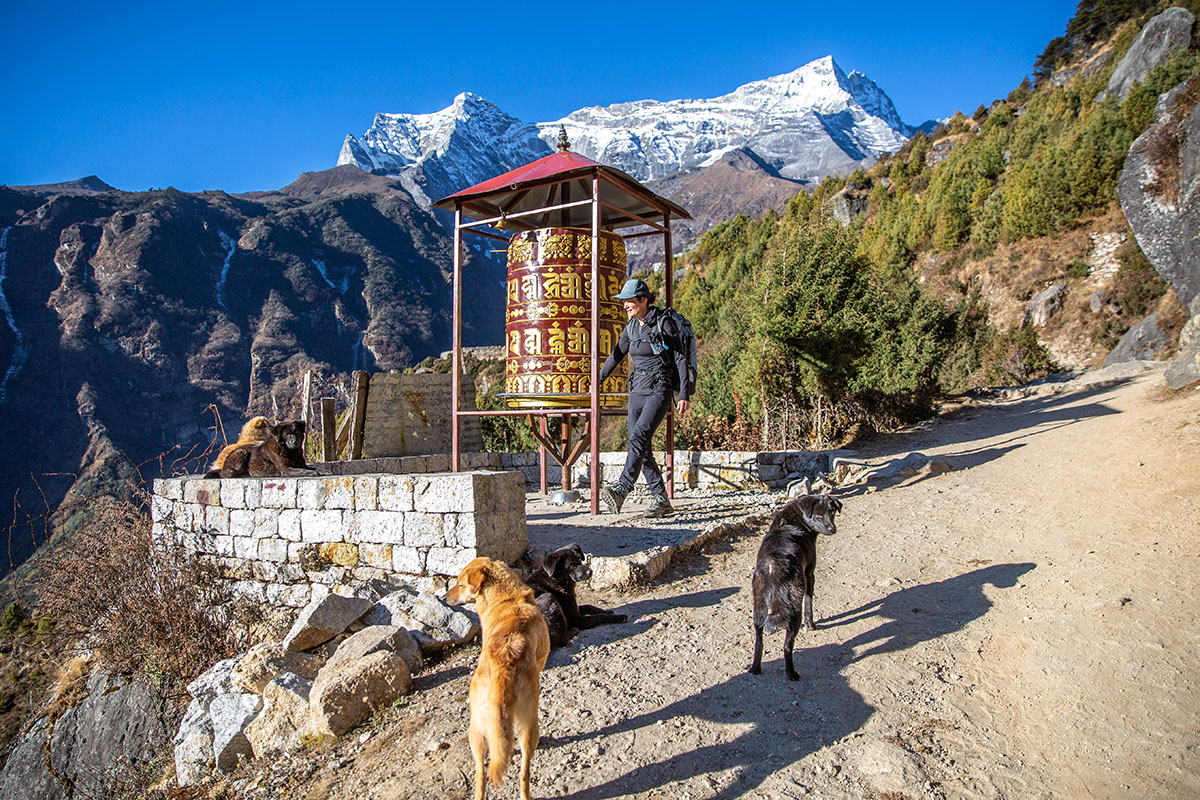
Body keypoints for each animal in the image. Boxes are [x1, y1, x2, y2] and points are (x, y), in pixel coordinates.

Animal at [446, 556, 549, 800]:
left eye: (460, 585)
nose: (444, 598)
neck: (507, 598)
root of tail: (504, 670)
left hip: (477, 730)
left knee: (482, 775)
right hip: (527, 723)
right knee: (523, 771)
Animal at [748, 494, 844, 681]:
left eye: (832, 511)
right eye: (818, 516)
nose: (832, 529)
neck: (798, 519)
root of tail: (775, 565)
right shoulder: (809, 574)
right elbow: (809, 603)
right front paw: (811, 625)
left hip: (759, 609)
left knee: (759, 642)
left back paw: (755, 669)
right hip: (793, 610)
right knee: (787, 645)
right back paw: (792, 674)